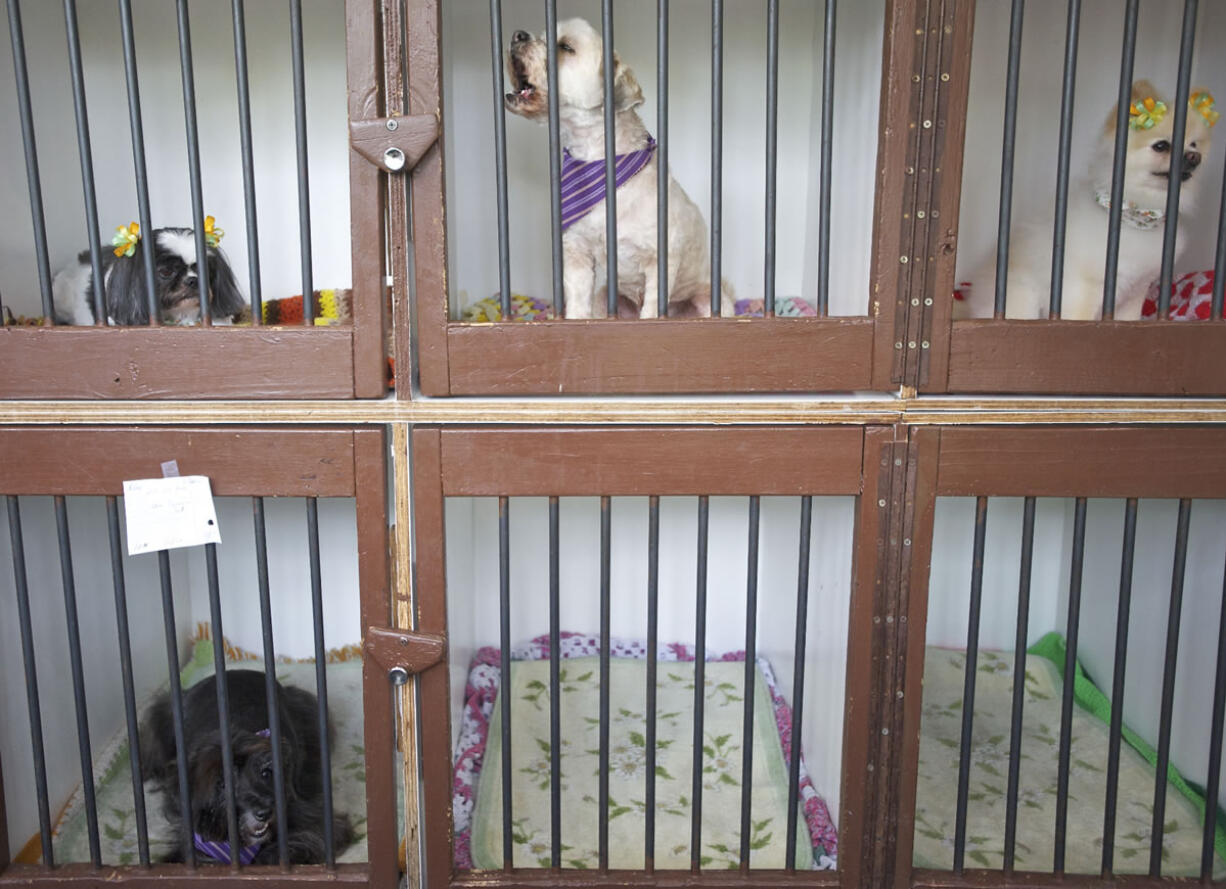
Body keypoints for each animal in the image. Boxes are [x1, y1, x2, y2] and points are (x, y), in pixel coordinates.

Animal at [505, 17, 730, 316]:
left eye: (565, 47)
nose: (517, 35)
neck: (598, 162)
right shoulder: (577, 255)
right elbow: (577, 307)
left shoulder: (660, 262)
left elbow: (652, 310)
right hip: (604, 299)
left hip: (710, 301)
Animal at [956, 79, 1216, 321]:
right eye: (1161, 146)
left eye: (1194, 144)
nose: (1195, 157)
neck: (1135, 217)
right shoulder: (1082, 289)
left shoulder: (1135, 292)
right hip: (1022, 302)